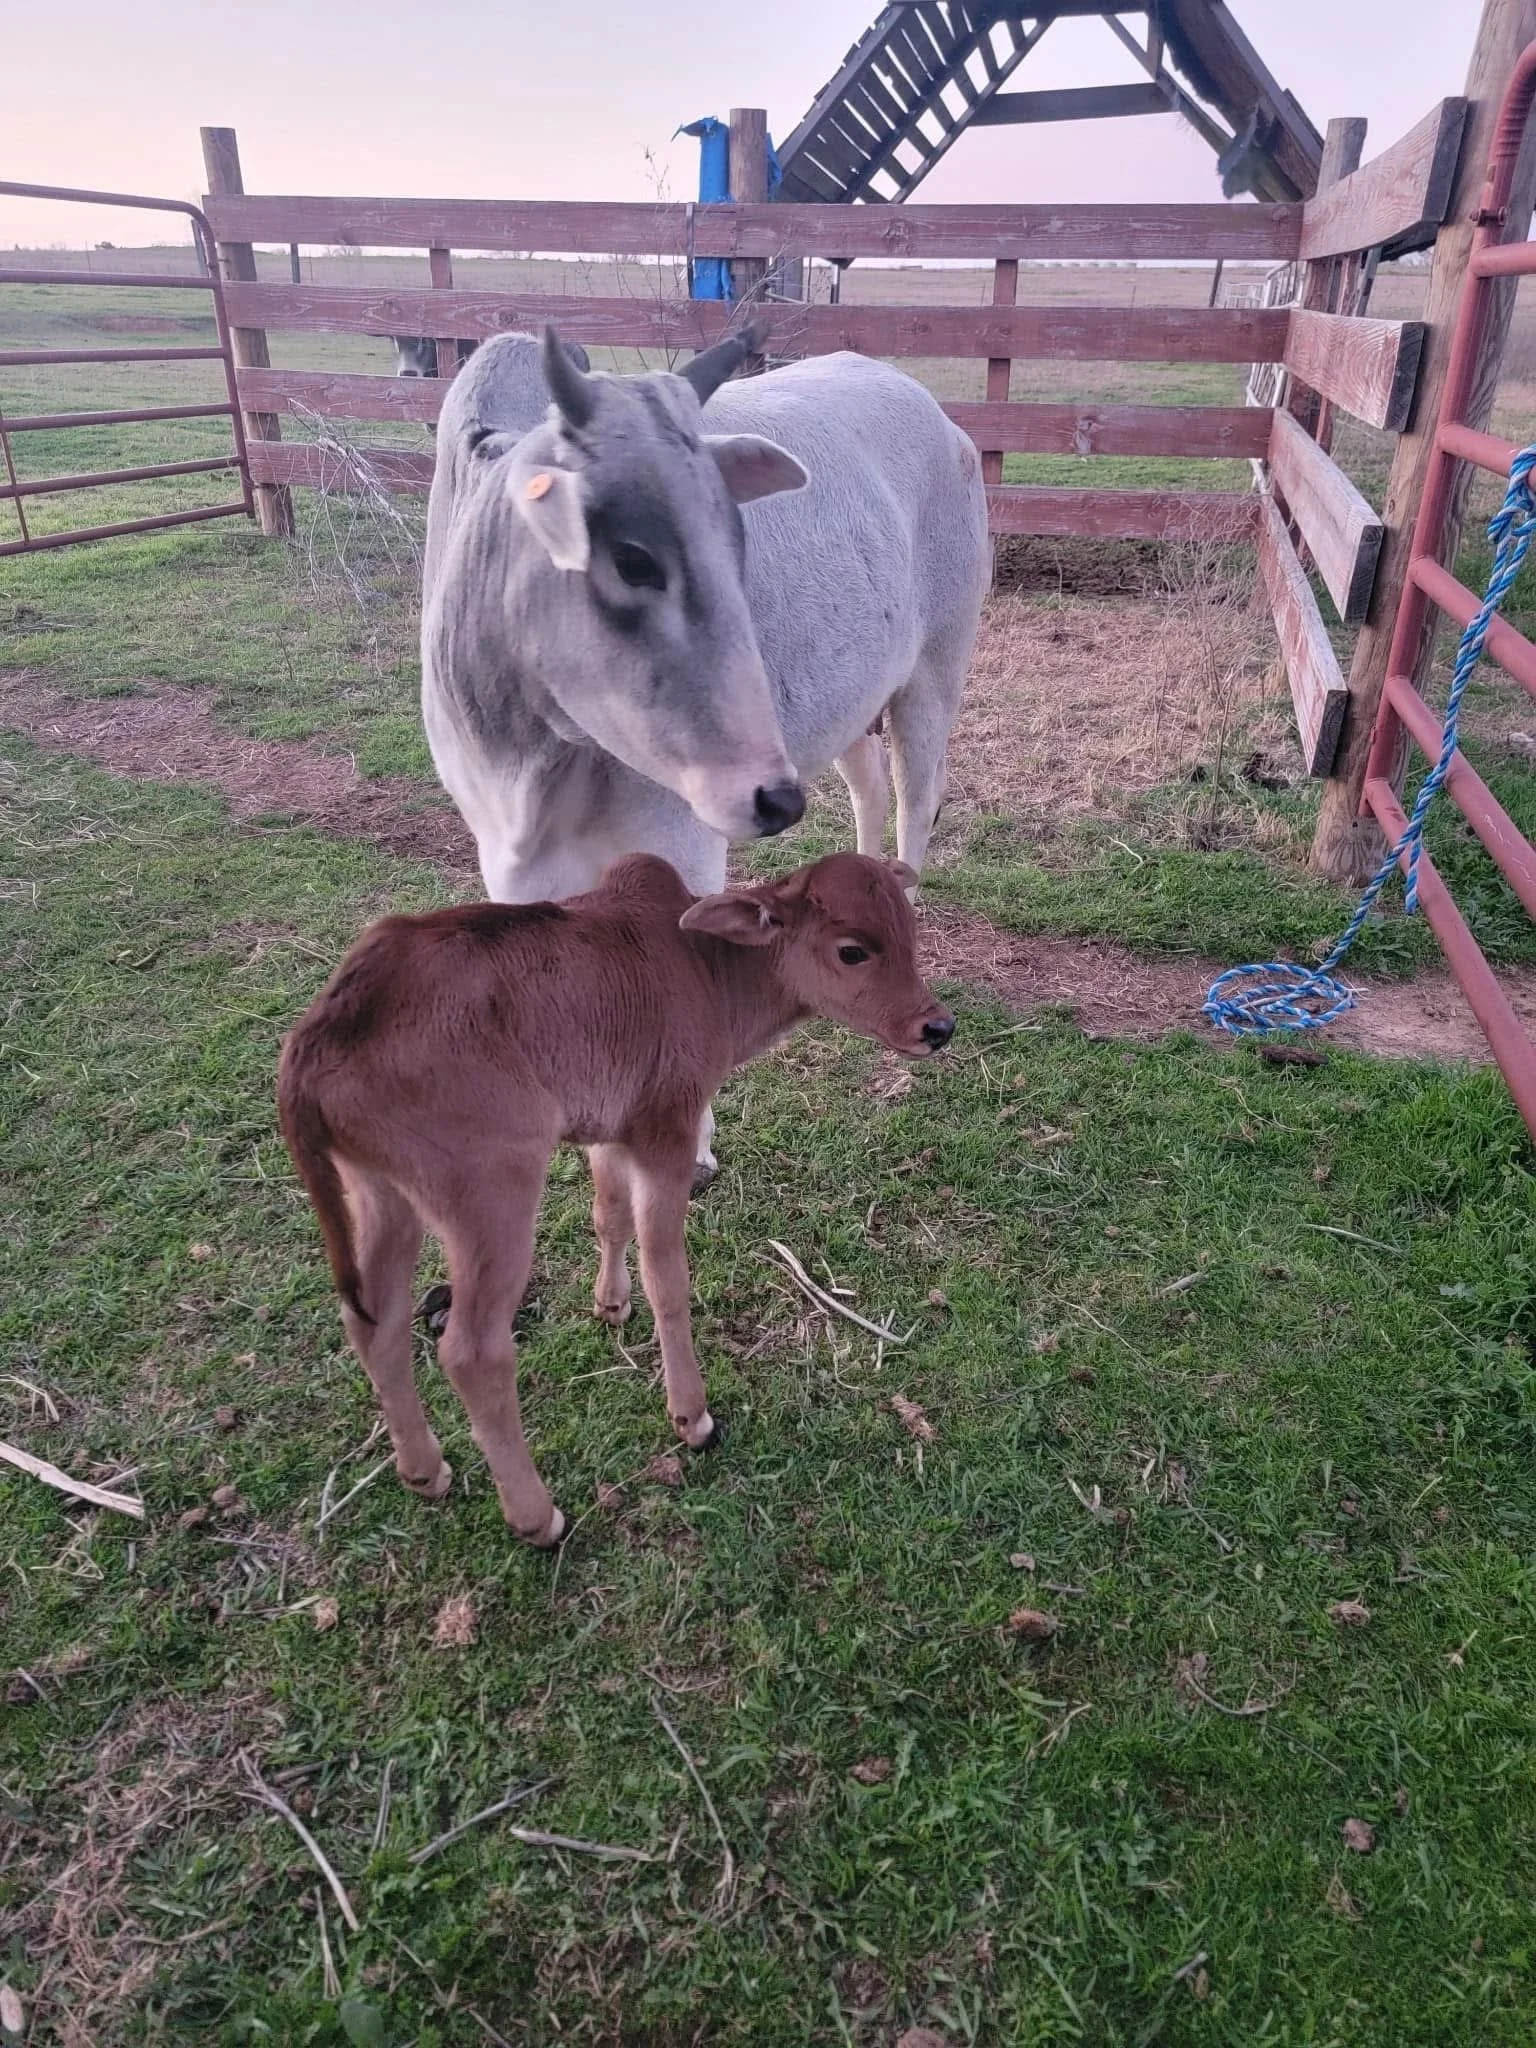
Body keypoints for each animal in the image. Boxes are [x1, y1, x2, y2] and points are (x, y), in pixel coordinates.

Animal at [277, 850, 954, 1546]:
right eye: (853, 951)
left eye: (908, 931)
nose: (937, 1026)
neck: (705, 969)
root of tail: (317, 1042)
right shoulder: (666, 1130)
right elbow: (667, 1276)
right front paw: (692, 1417)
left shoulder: (608, 1129)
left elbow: (608, 1216)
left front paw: (610, 1305)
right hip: (490, 1196)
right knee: (470, 1351)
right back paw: (537, 1515)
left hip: (382, 1197)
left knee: (372, 1321)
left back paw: (423, 1469)